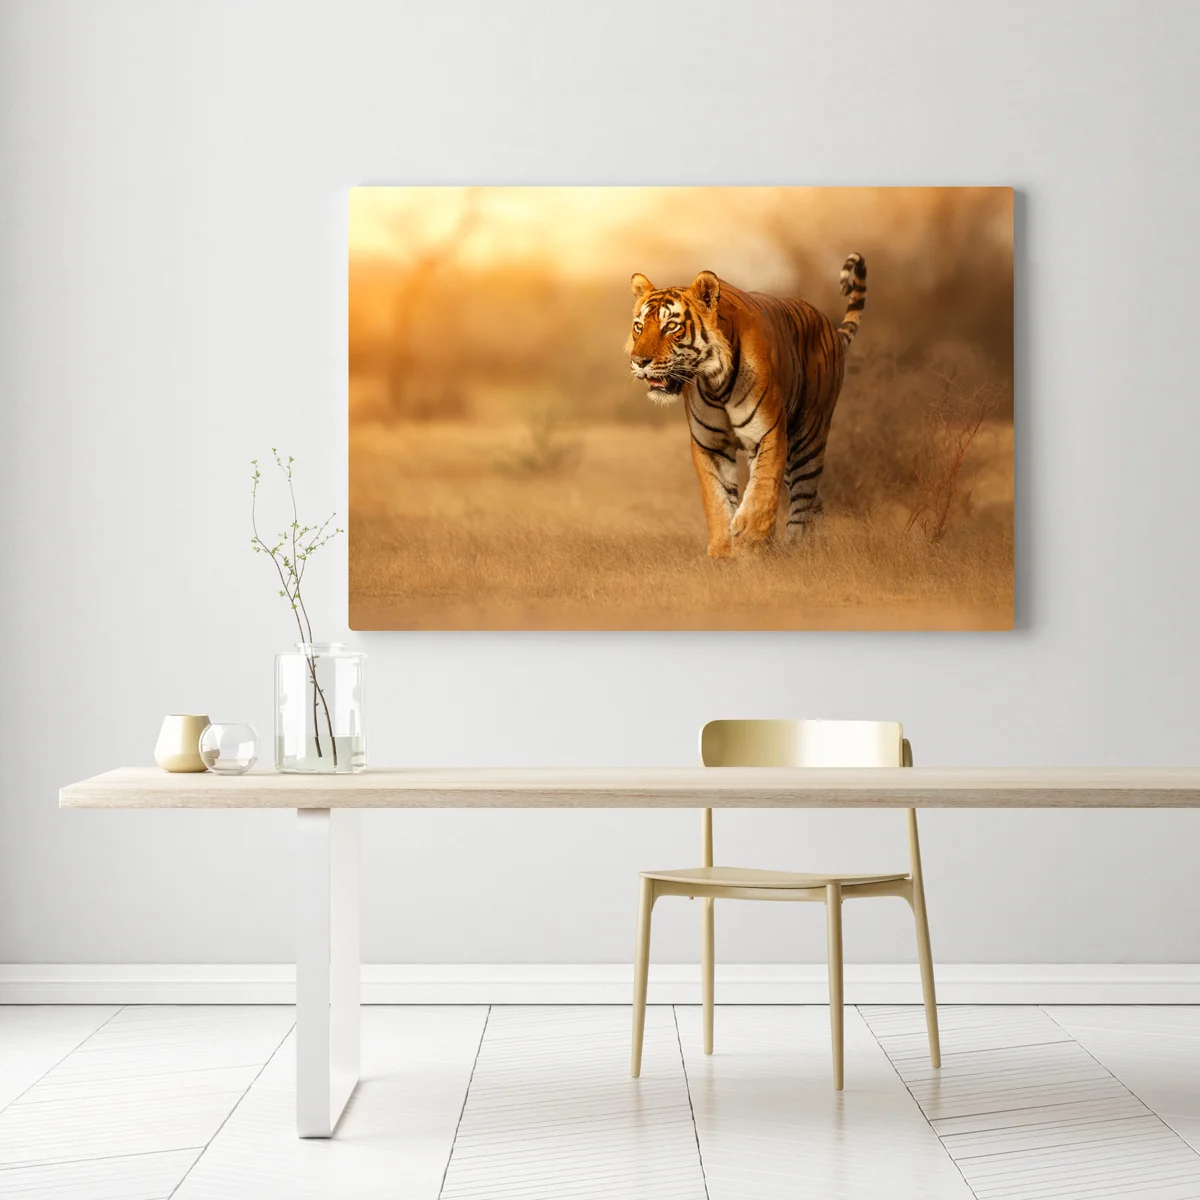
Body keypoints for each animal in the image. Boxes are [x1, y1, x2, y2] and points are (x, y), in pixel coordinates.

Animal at [626, 255, 866, 557]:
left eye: (670, 326)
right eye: (639, 326)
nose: (639, 361)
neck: (714, 382)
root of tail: (829, 326)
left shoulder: (767, 434)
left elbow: (762, 491)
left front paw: (750, 543)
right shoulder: (710, 445)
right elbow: (716, 499)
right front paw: (722, 551)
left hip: (809, 436)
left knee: (803, 496)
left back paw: (795, 546)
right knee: (814, 500)